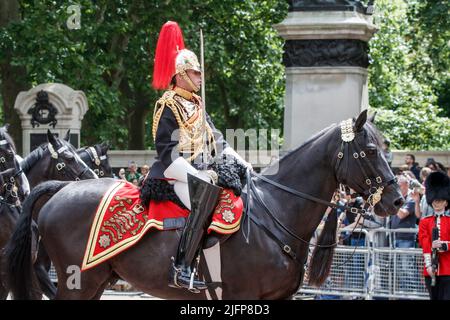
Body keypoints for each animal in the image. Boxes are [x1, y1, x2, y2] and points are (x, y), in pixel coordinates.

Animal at [7, 110, 402, 300]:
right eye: (370, 150)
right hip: (78, 282)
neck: (275, 215)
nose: (396, 200)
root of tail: (61, 190)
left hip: (95, 281)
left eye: (385, 148)